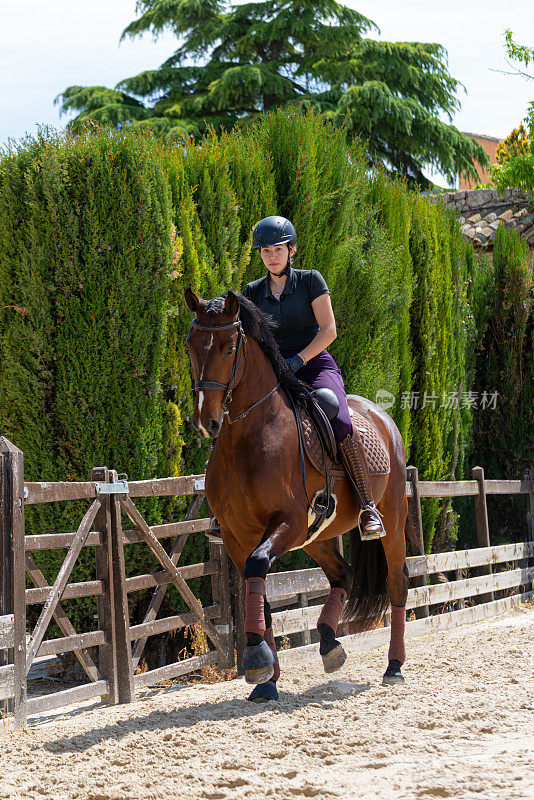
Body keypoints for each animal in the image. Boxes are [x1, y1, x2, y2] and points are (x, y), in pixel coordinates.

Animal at [185, 288, 414, 700]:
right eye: (190, 344)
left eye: (230, 348)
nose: (206, 421)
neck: (247, 440)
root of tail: (381, 415)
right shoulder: (237, 535)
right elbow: (257, 589)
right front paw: (265, 680)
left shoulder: (287, 523)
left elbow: (258, 566)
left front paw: (255, 657)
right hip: (317, 537)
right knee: (342, 574)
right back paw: (328, 644)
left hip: (390, 516)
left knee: (396, 583)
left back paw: (394, 666)